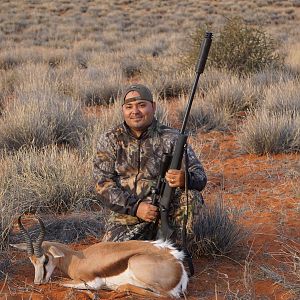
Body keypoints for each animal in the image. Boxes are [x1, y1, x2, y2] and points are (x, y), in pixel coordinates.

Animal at [11, 217, 189, 298]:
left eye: (46, 260)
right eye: (32, 262)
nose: (38, 282)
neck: (77, 259)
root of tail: (178, 264)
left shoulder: (91, 281)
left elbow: (60, 282)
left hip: (137, 266)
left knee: (167, 297)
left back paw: (119, 289)